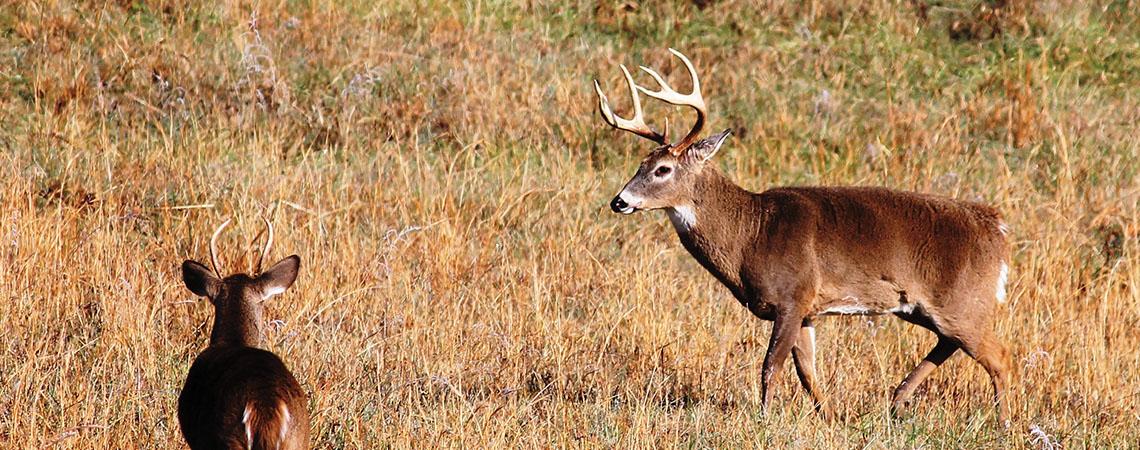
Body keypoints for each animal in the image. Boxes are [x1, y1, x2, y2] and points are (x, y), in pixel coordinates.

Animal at [594, 49, 1013, 424]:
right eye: (640, 164)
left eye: (662, 169)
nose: (619, 201)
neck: (750, 234)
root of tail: (997, 229)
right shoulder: (808, 308)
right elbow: (807, 370)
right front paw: (831, 417)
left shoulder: (791, 295)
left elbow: (771, 365)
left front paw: (764, 420)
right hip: (925, 306)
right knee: (951, 344)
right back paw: (897, 400)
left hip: (962, 300)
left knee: (999, 357)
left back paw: (1003, 423)